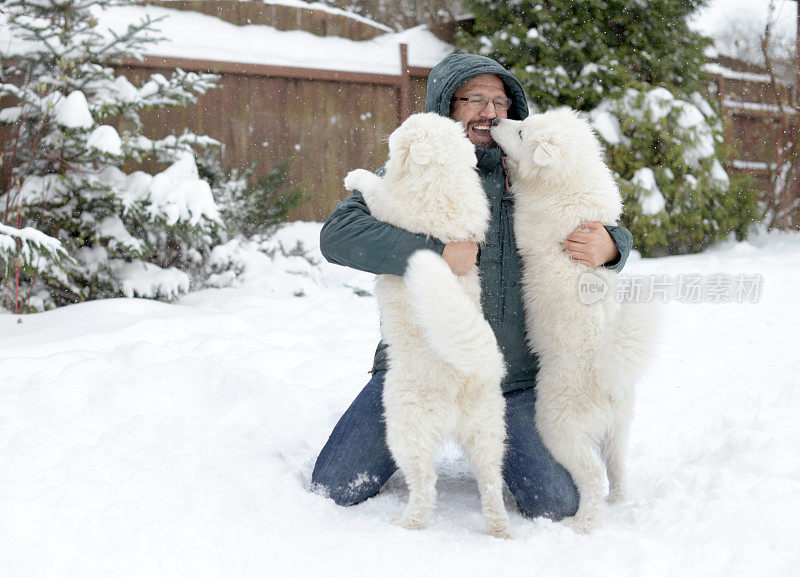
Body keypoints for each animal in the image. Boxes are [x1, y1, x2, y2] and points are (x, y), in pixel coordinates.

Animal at [340, 112, 510, 536]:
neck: (442, 177)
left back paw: (404, 523)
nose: (389, 136)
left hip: (404, 426)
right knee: (490, 483)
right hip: (488, 433)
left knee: (426, 485)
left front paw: (356, 176)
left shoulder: (395, 209)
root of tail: (468, 373)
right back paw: (501, 530)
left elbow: (377, 191)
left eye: (403, 133)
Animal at [490, 107, 660, 532]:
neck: (568, 186)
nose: (495, 121)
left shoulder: (528, 225)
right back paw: (619, 503)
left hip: (558, 426)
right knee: (617, 467)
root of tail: (607, 372)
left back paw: (580, 524)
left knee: (592, 476)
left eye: (521, 131)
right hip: (619, 426)